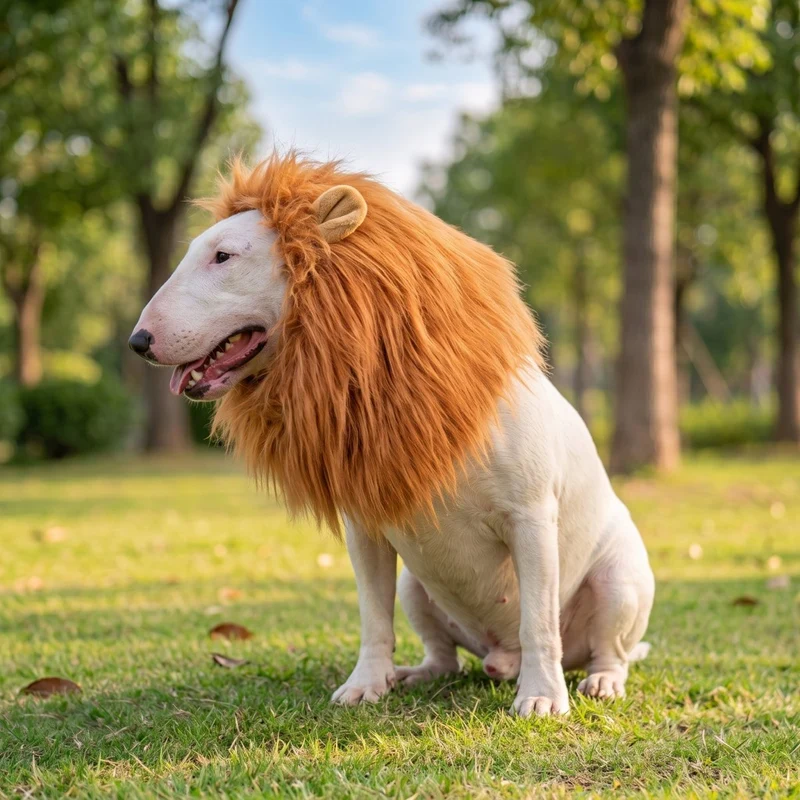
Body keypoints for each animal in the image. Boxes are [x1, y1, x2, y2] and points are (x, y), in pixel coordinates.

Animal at [130, 153, 654, 717]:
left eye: (223, 256)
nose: (138, 341)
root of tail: (500, 656)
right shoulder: (367, 524)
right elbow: (373, 616)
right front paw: (367, 683)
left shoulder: (531, 518)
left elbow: (538, 619)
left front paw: (541, 697)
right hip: (416, 588)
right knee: (444, 653)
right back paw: (418, 674)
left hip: (620, 582)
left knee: (607, 648)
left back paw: (599, 681)